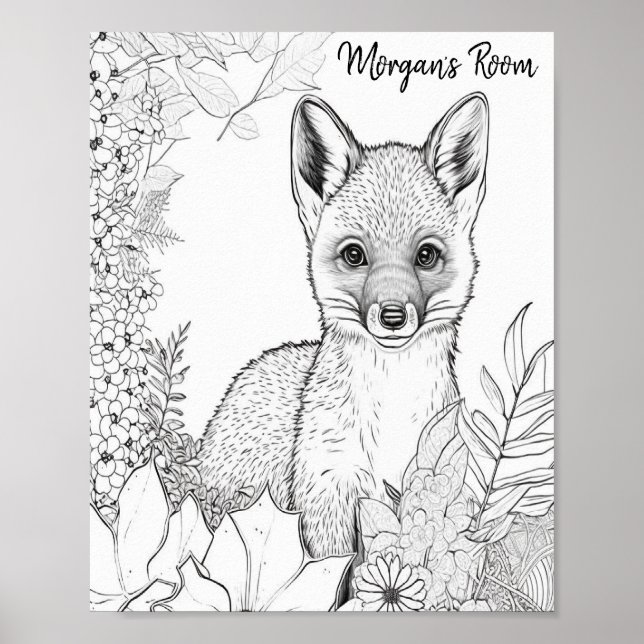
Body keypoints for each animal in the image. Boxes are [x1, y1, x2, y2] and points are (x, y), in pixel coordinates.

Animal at [199, 92, 489, 561]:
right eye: (355, 255)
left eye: (426, 255)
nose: (393, 316)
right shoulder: (328, 490)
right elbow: (335, 567)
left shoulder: (429, 485)